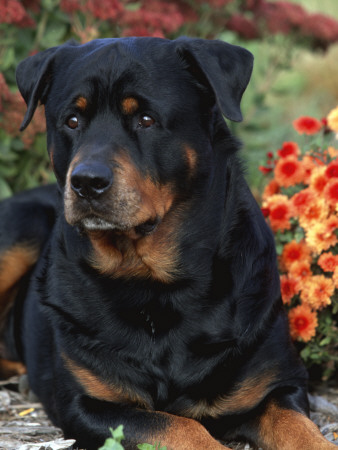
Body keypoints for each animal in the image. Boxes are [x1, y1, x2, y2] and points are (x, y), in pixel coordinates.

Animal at [0, 37, 336, 448]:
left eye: (146, 120)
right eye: (72, 121)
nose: (86, 181)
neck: (157, 286)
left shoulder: (278, 384)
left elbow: (300, 428)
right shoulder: (87, 405)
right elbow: (182, 427)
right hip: (21, 225)